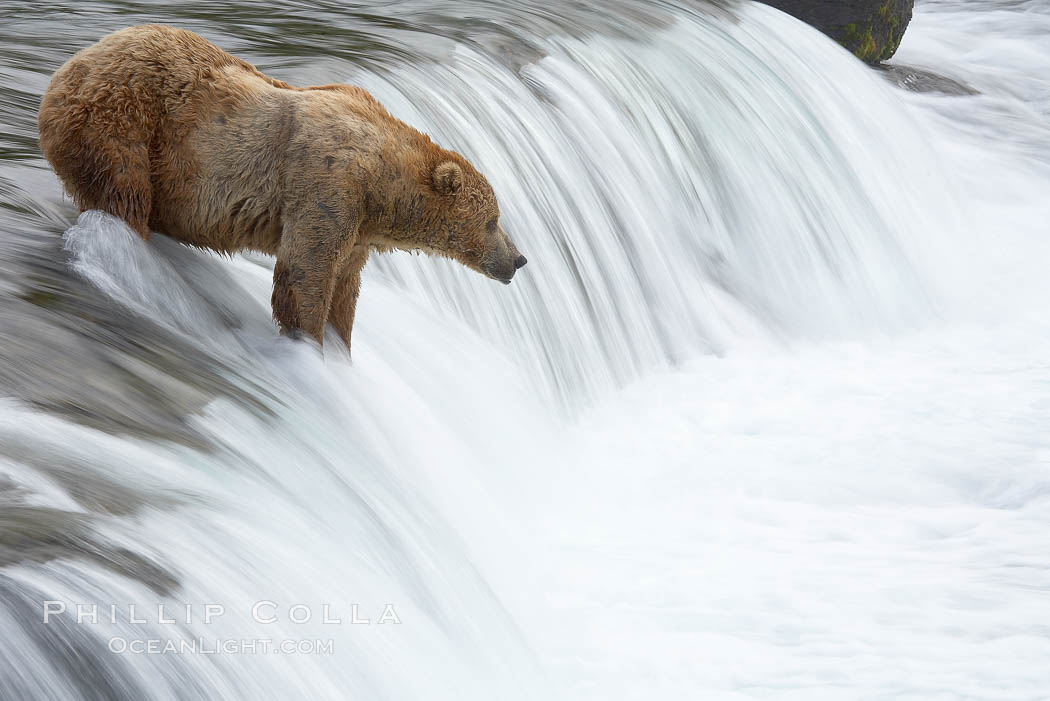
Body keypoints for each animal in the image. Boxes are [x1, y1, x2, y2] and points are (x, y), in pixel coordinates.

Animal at [37, 24, 527, 346]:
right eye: (492, 220)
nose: (518, 259)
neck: (381, 186)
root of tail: (66, 68)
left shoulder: (359, 231)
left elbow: (345, 288)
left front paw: (340, 346)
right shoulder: (327, 183)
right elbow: (304, 271)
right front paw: (310, 343)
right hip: (123, 120)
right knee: (124, 193)